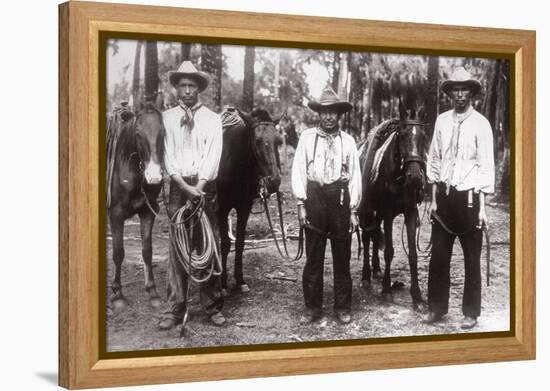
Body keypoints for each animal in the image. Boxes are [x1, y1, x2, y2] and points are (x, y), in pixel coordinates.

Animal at [107, 100, 166, 310]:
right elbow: (118, 253)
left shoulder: (148, 212)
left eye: (163, 133)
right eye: (138, 134)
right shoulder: (115, 215)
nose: (154, 176)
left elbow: (147, 251)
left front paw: (153, 292)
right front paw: (117, 295)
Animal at [218, 108, 282, 296]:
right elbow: (225, 244)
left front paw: (240, 281)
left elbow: (240, 243)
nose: (274, 181)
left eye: (278, 141)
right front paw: (223, 284)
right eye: (258, 140)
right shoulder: (222, 209)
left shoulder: (244, 208)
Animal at [360, 102, 430, 312]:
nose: (415, 178)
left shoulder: (410, 212)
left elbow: (413, 254)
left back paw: (376, 269)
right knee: (366, 238)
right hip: (368, 211)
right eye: (402, 136)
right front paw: (386, 290)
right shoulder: (389, 213)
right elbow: (389, 251)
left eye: (424, 136)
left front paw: (417, 297)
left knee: (375, 236)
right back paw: (366, 276)